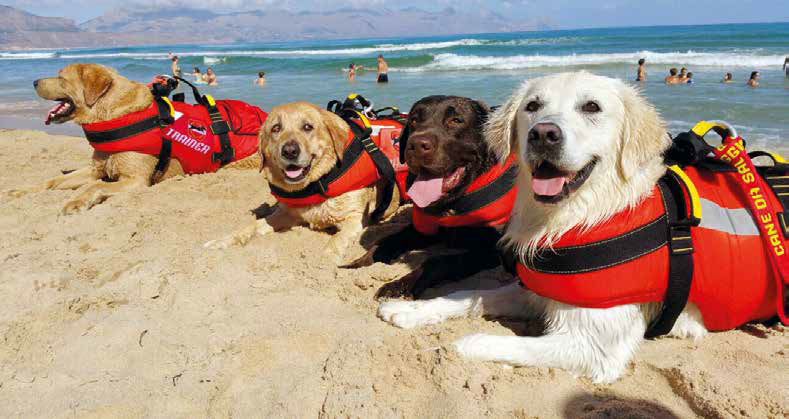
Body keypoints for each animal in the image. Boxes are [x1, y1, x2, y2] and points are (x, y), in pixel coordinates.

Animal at [6, 64, 258, 215]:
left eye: (61, 78)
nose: (34, 82)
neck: (111, 113)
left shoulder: (136, 180)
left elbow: (96, 185)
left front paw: (76, 202)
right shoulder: (96, 168)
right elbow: (53, 180)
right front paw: (21, 191)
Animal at [203, 102, 400, 264]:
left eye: (307, 127)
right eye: (276, 128)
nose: (290, 151)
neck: (317, 183)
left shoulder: (354, 218)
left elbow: (337, 239)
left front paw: (326, 259)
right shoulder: (286, 214)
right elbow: (253, 225)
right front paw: (222, 241)